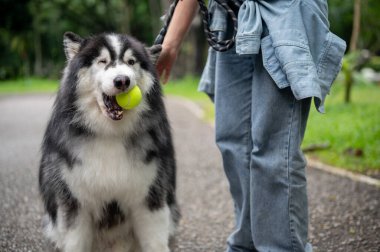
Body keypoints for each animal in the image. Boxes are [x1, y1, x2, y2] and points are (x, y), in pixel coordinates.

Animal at [38, 32, 180, 252]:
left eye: (131, 62)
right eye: (102, 61)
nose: (122, 81)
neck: (110, 134)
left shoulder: (150, 197)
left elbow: (155, 240)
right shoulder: (75, 200)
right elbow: (75, 241)